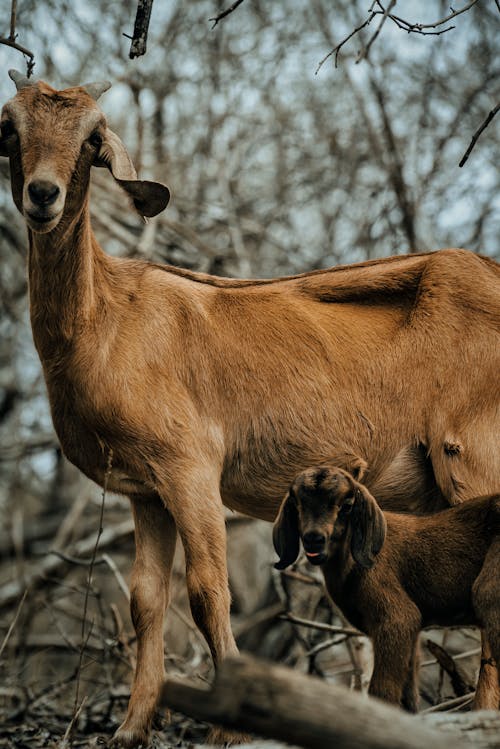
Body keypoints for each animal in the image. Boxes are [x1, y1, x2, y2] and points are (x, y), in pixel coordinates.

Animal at [274, 468, 500, 712]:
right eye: (296, 503)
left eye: (347, 505)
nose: (314, 539)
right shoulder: (412, 631)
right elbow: (408, 693)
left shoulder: (396, 619)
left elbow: (383, 690)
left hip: (490, 591)